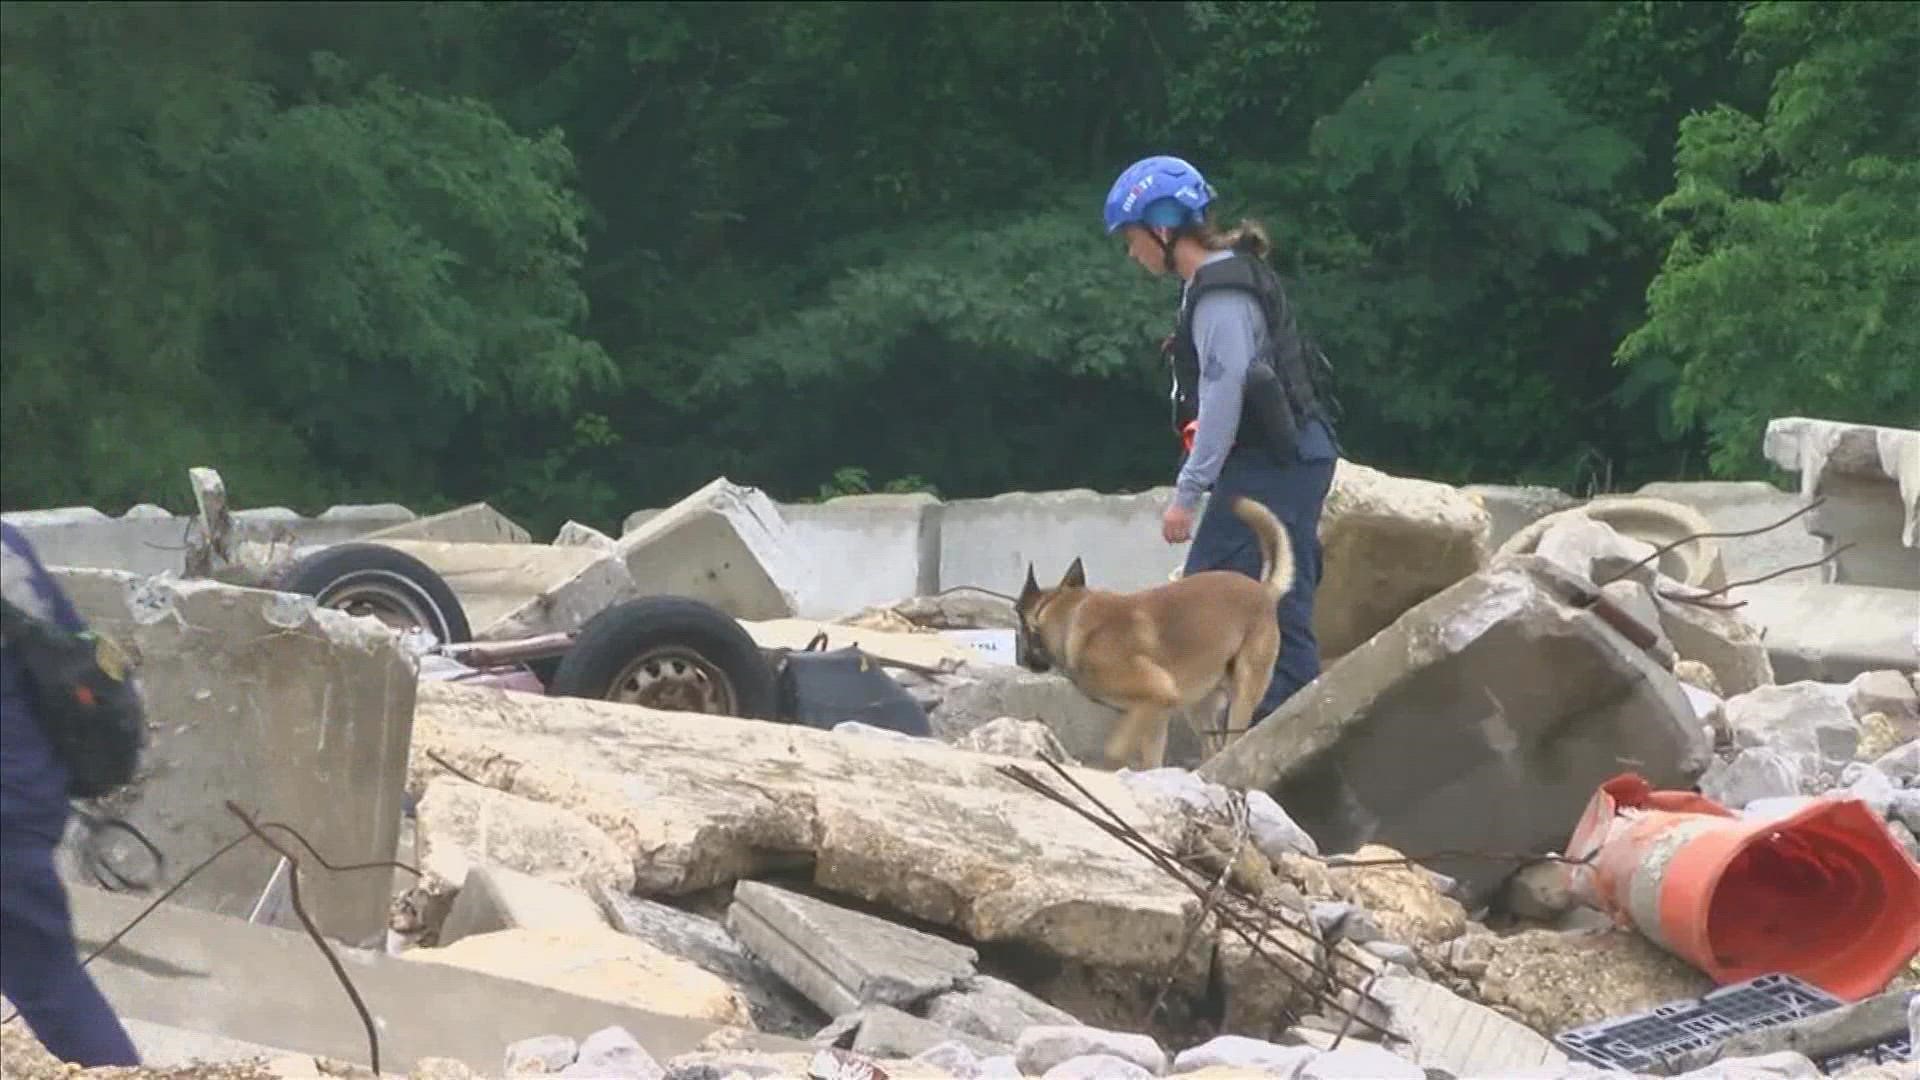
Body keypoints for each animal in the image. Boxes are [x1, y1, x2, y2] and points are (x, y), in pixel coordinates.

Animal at [1013, 495, 1297, 764]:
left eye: (1022, 631)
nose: (1024, 661)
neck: (1069, 613)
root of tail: (1264, 591)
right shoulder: (1158, 710)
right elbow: (1151, 757)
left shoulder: (1156, 696)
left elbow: (1115, 749)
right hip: (1196, 704)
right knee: (1212, 746)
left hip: (1242, 694)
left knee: (1231, 742)